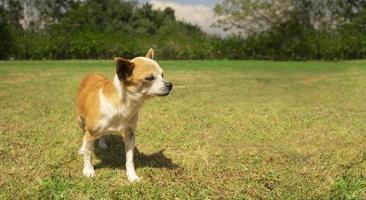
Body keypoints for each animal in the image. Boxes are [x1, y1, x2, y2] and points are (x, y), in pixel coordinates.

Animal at [76, 48, 173, 181]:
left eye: (162, 75)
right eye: (149, 78)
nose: (170, 85)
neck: (122, 104)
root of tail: (92, 73)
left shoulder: (130, 134)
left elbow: (129, 158)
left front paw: (132, 176)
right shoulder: (90, 132)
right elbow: (88, 154)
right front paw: (88, 170)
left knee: (102, 134)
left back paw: (102, 144)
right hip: (80, 120)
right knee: (83, 135)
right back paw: (82, 148)